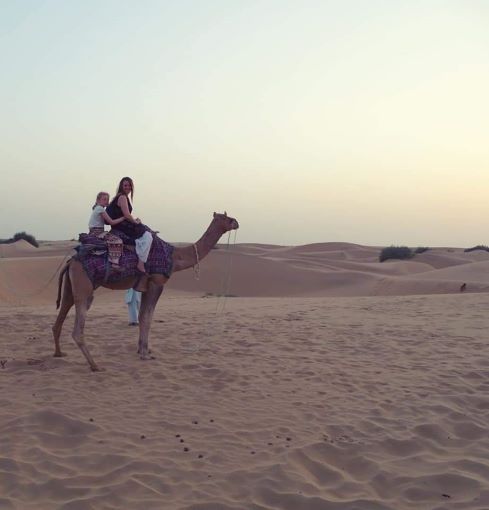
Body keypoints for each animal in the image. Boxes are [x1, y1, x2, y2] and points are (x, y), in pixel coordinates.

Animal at [52, 211, 237, 370]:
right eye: (226, 218)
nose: (236, 222)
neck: (174, 257)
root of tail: (71, 261)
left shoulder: (145, 287)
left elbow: (142, 316)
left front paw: (143, 349)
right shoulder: (156, 283)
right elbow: (148, 317)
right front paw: (145, 354)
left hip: (70, 287)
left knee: (60, 317)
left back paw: (59, 353)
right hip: (83, 287)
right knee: (77, 329)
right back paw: (95, 365)